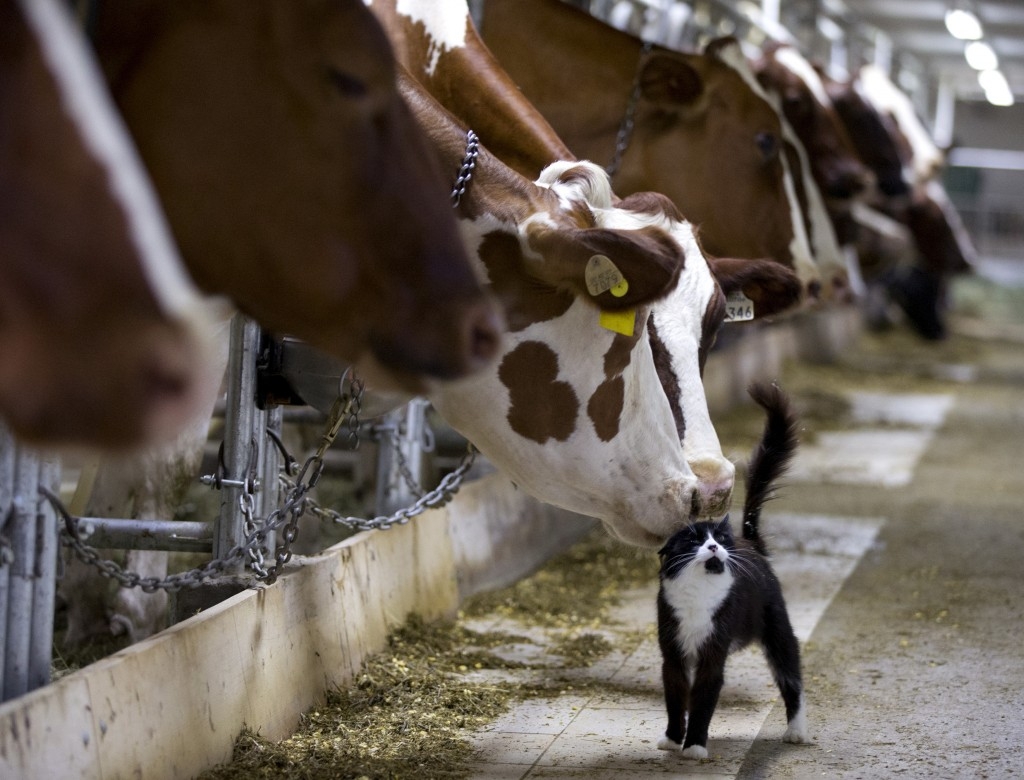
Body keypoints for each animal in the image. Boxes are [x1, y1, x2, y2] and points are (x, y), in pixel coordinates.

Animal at [655, 380, 806, 757]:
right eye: (693, 539)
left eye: (719, 538)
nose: (715, 546)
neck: (698, 595)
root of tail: (751, 542)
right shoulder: (672, 653)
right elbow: (676, 697)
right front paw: (672, 738)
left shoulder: (713, 654)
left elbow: (704, 699)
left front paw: (695, 745)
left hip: (778, 630)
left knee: (792, 678)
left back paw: (797, 731)